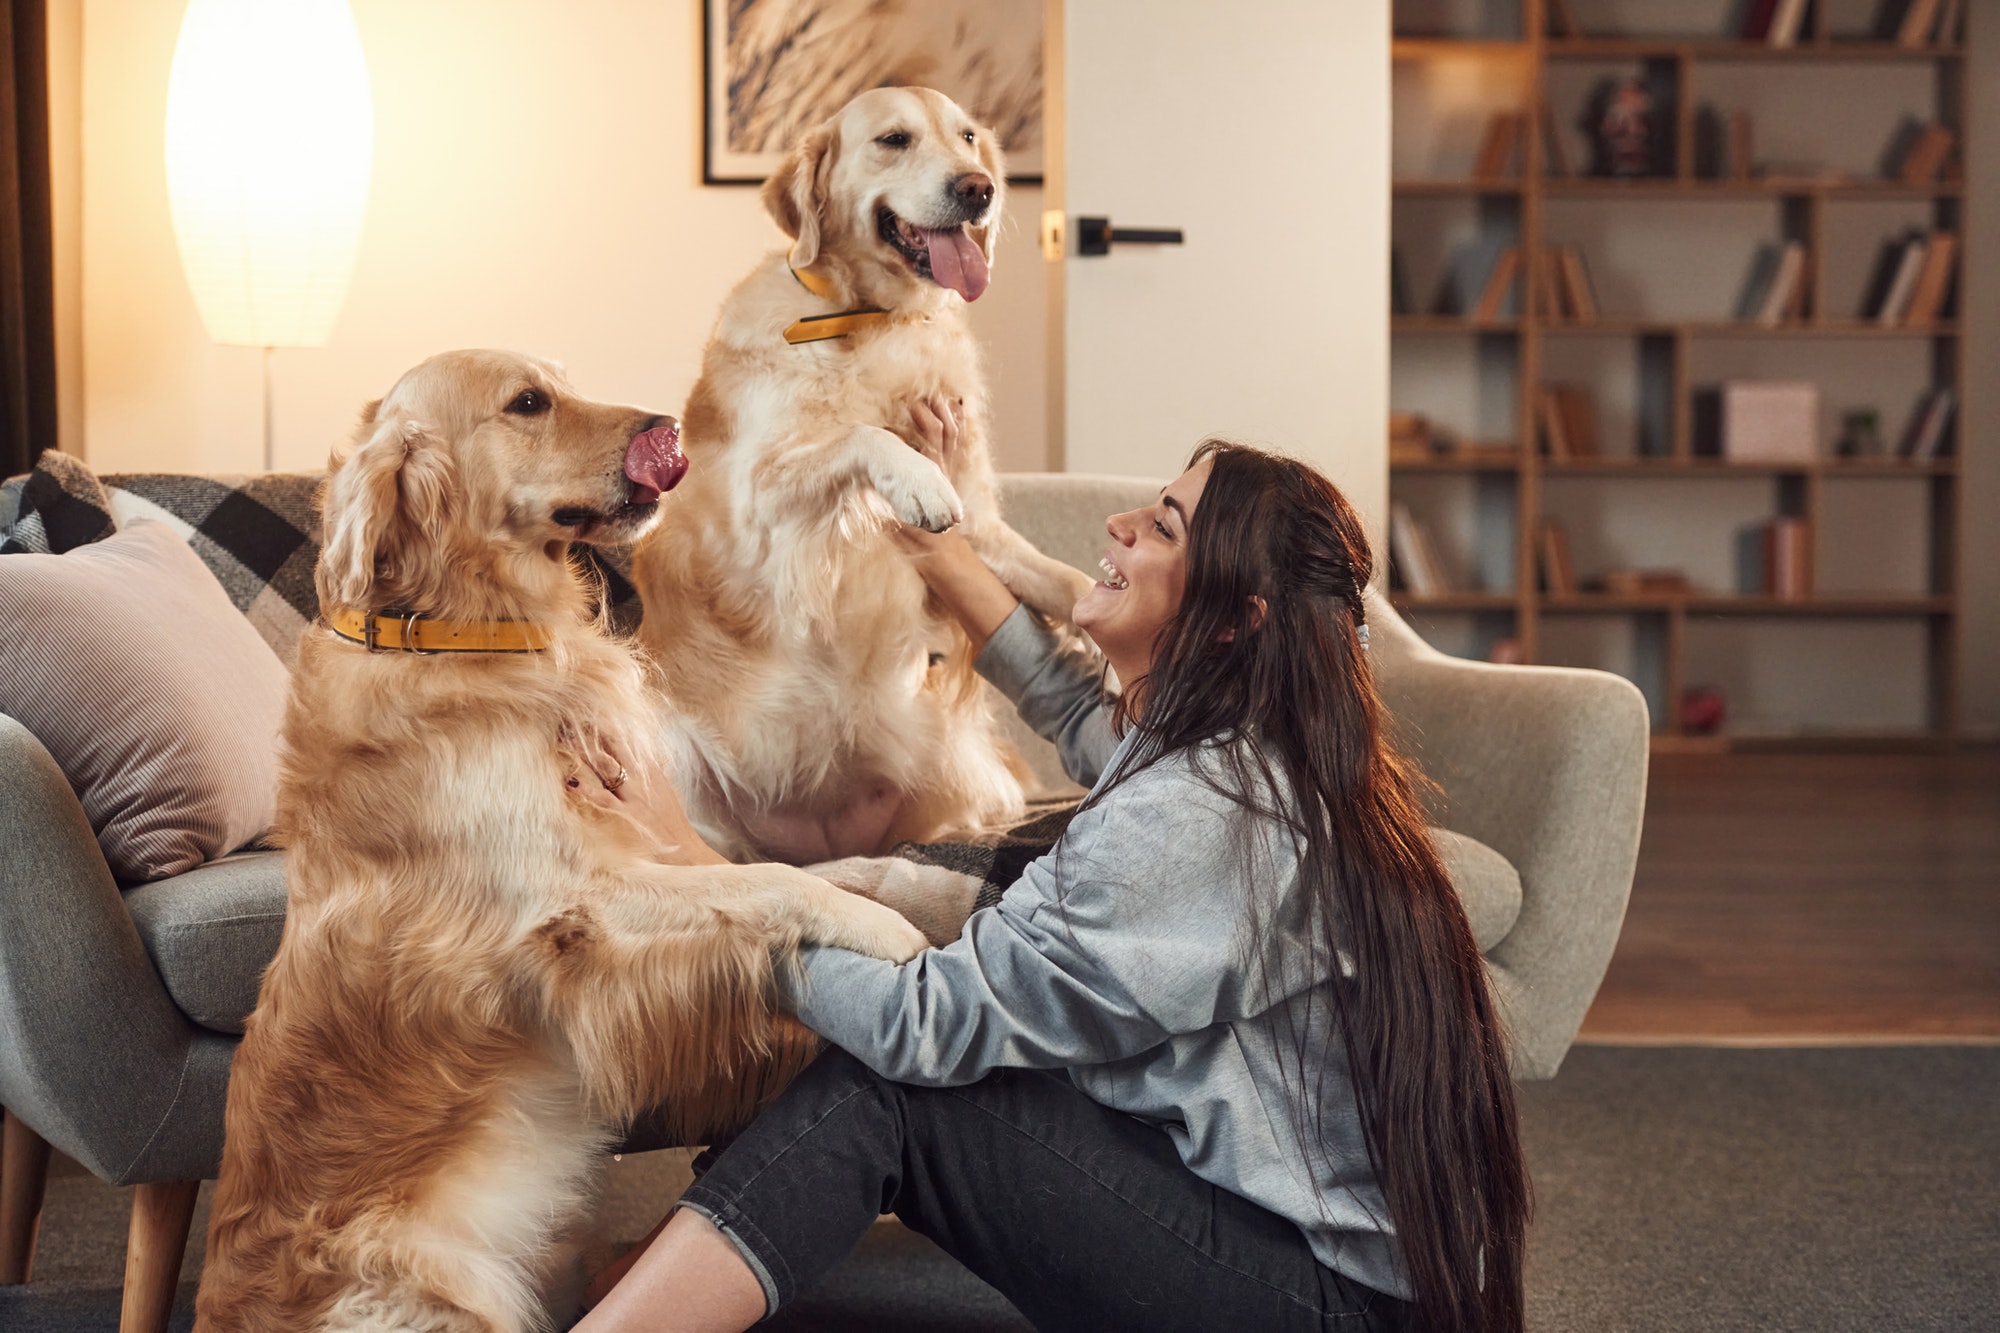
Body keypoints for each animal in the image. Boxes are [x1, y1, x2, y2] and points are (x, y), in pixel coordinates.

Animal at [195, 350, 928, 1328]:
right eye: (529, 402)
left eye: (561, 380)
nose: (669, 428)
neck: (462, 633)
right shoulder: (569, 906)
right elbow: (775, 880)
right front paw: (895, 934)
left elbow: (788, 868)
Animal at [632, 88, 1096, 868]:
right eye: (894, 140)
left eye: (968, 138)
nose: (979, 189)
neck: (877, 319)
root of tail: (814, 844)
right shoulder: (755, 512)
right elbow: (863, 434)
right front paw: (917, 481)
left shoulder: (984, 530)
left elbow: (1068, 579)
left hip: (956, 762)